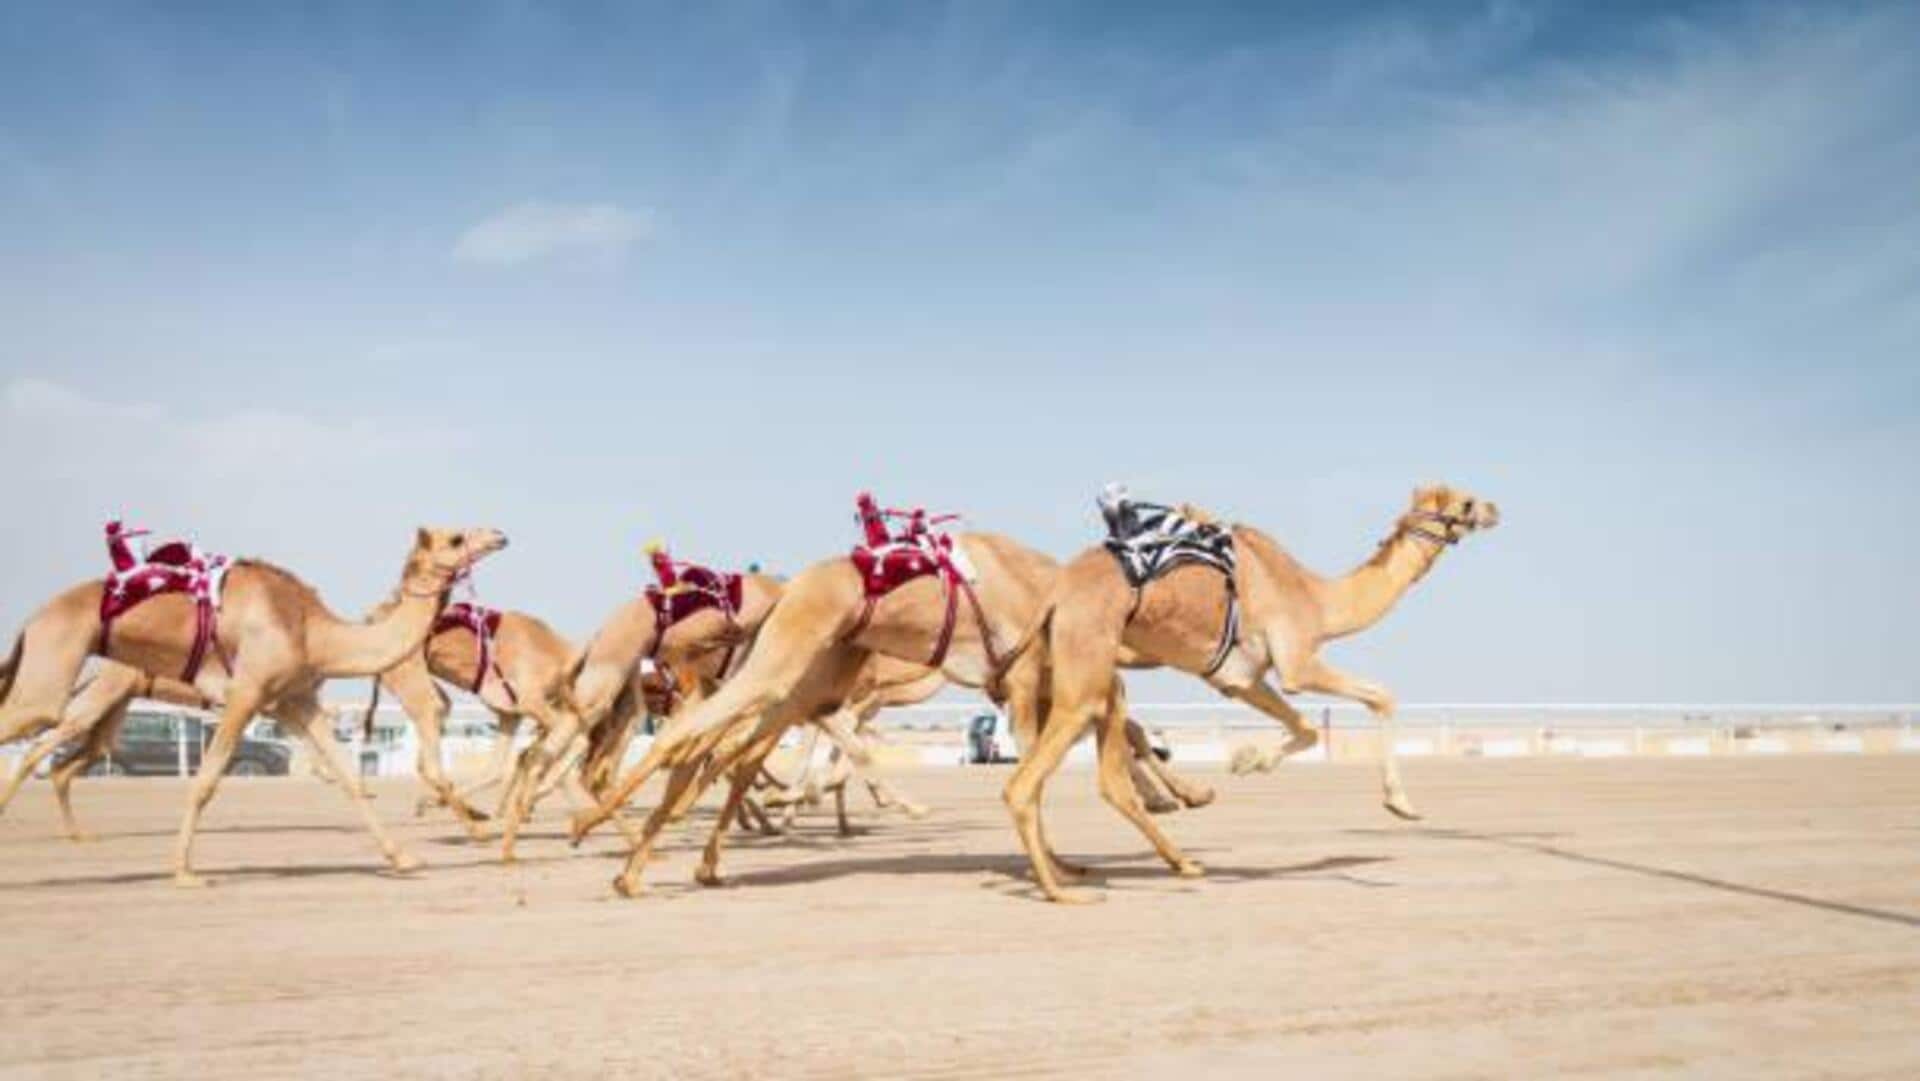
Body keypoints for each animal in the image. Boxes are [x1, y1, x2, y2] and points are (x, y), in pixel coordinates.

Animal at [0, 525, 506, 886]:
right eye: (455, 538)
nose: (499, 535)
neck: (314, 632)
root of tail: (33, 617)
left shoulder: (295, 700)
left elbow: (350, 779)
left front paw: (403, 857)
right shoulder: (246, 694)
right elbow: (205, 782)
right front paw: (184, 871)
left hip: (98, 698)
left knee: (65, 756)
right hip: (57, 672)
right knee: (34, 738)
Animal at [1006, 484, 1499, 901]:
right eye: (1466, 502)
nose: (1495, 509)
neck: (1317, 598)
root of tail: (1055, 595)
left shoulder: (1239, 677)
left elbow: (1306, 728)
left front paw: (1247, 760)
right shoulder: (1298, 660)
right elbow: (1380, 695)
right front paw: (1401, 805)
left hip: (1086, 674)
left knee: (1100, 777)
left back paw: (1172, 861)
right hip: (1085, 667)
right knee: (1024, 784)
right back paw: (1063, 891)